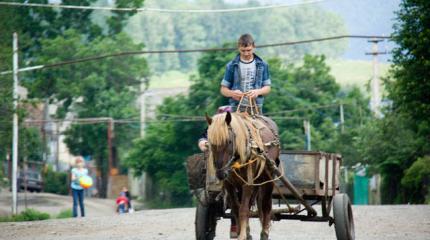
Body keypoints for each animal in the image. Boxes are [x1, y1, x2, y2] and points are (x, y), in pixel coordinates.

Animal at [206, 111, 280, 240]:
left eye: (229, 141)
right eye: (211, 143)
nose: (221, 173)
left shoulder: (247, 183)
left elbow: (243, 209)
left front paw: (242, 235)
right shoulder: (229, 185)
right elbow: (236, 208)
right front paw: (242, 231)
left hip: (269, 178)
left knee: (266, 204)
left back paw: (264, 233)